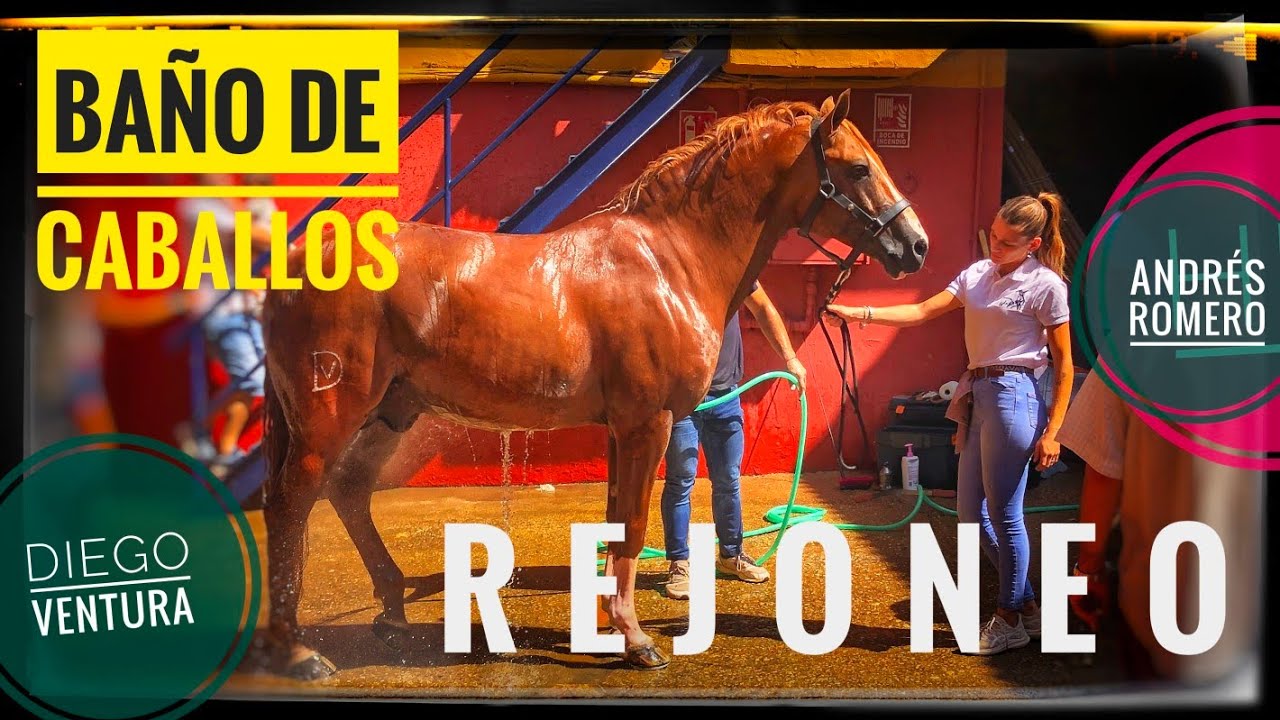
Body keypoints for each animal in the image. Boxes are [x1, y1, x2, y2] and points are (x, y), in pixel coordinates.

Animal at [257, 89, 930, 679]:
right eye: (858, 168)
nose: (916, 246)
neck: (671, 258)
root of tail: (298, 259)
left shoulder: (620, 429)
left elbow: (613, 523)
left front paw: (609, 627)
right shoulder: (648, 424)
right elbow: (631, 525)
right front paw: (636, 641)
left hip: (392, 411)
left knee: (348, 491)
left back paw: (393, 612)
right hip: (330, 417)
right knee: (291, 503)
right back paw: (299, 651)